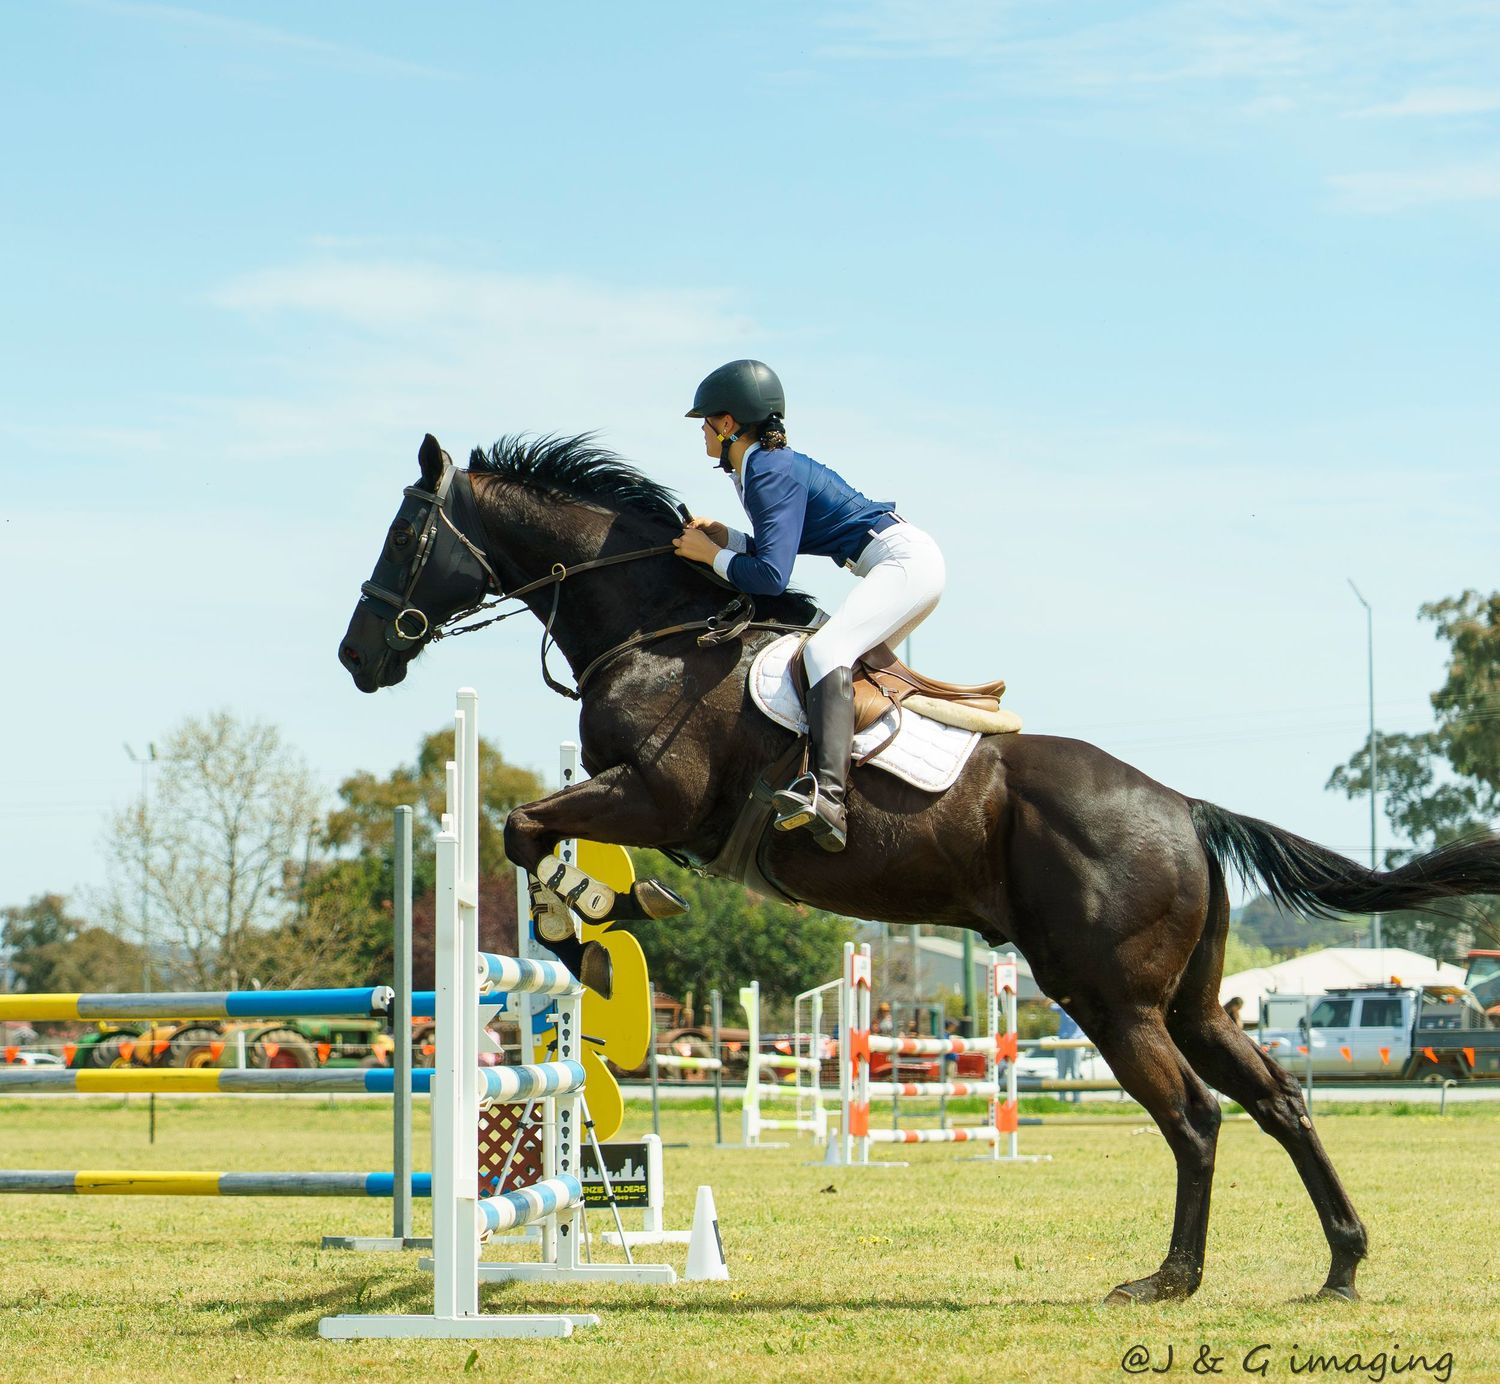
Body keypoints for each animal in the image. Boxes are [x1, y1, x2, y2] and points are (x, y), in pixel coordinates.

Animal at [338, 432, 1500, 1306]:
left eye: (404, 534)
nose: (357, 656)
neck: (655, 630)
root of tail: (1184, 809)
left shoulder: (653, 797)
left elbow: (522, 829)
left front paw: (583, 922)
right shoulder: (635, 800)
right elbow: (530, 830)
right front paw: (595, 920)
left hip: (1111, 998)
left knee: (1197, 1120)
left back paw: (1169, 1280)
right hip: (1194, 1000)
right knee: (1279, 1102)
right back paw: (1342, 1266)